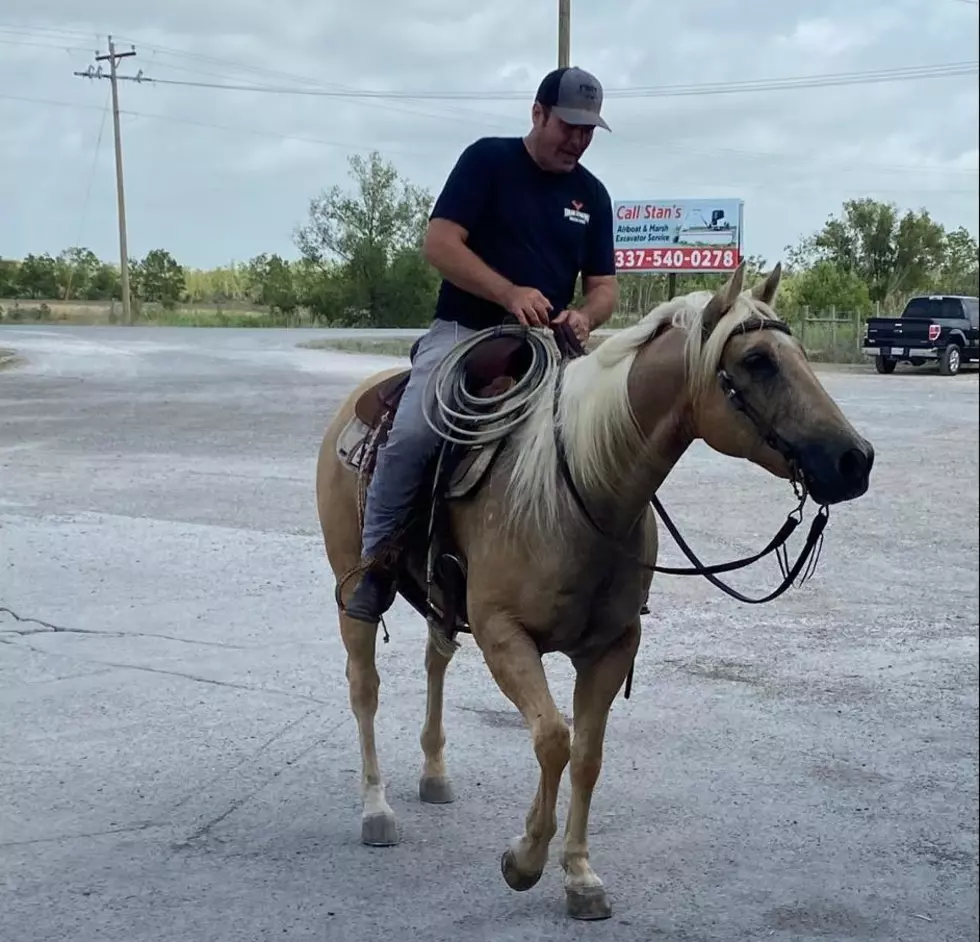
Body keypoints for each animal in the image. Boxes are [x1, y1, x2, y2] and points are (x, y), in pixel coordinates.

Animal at [314, 264, 872, 920]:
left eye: (800, 354)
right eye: (758, 360)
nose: (855, 459)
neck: (579, 487)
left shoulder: (612, 647)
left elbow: (586, 754)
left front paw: (580, 876)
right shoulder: (504, 635)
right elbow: (553, 739)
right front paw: (525, 859)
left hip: (442, 602)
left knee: (436, 661)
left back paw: (434, 773)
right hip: (355, 583)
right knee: (365, 687)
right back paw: (377, 809)